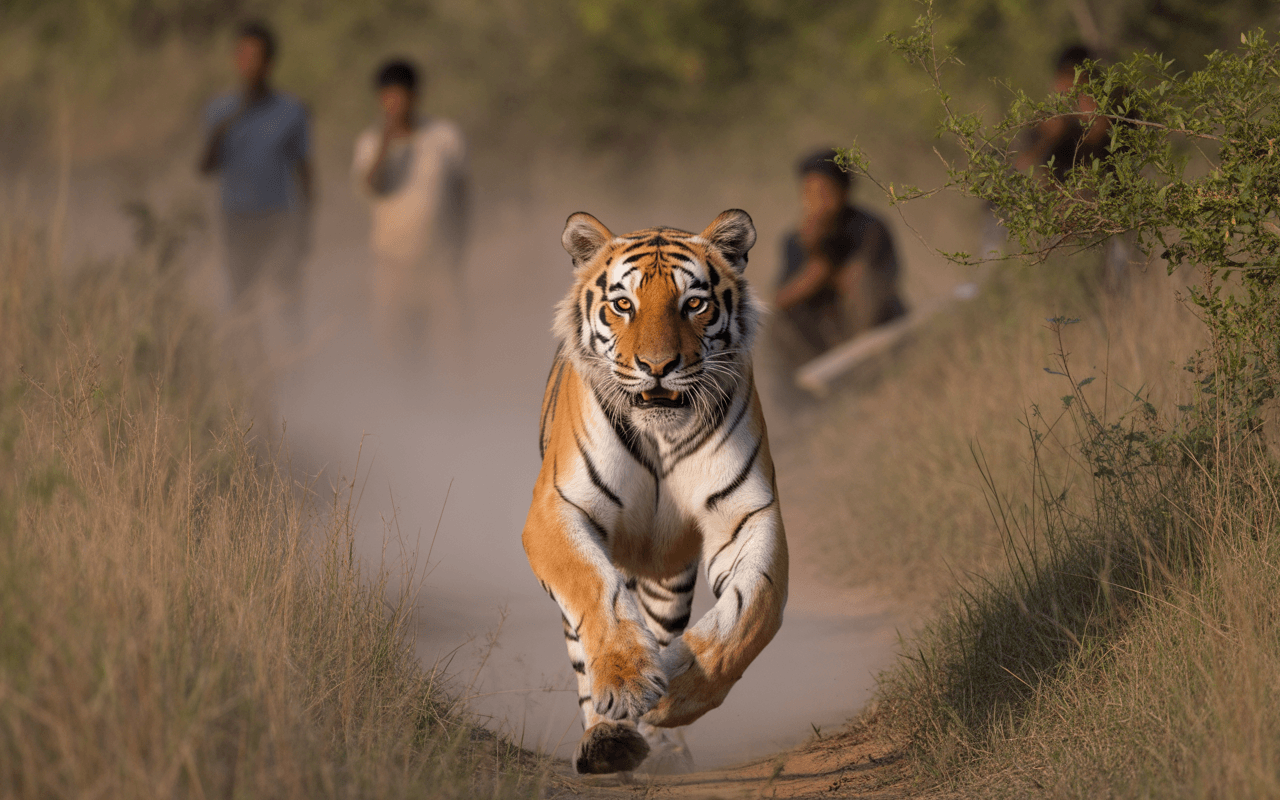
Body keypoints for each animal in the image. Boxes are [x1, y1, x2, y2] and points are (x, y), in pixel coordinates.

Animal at [522, 209, 789, 775]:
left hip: (669, 575)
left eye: (694, 303)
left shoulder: (747, 514)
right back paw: (608, 739)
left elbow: (753, 610)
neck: (661, 434)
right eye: (624, 304)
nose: (658, 367)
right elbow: (595, 590)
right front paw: (626, 684)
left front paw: (673, 697)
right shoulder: (558, 510)